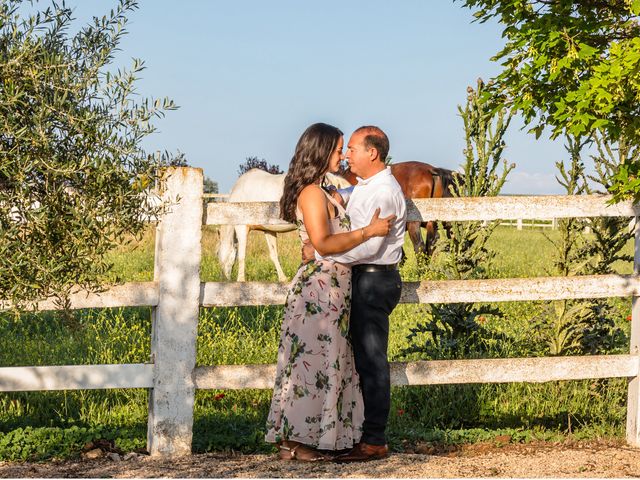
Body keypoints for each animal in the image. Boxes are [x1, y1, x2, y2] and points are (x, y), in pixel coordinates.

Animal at [219, 169, 350, 282]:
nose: (224, 280)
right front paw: (282, 278)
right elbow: (273, 255)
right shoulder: (269, 230)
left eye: (217, 255)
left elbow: (241, 255)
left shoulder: (241, 227)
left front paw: (241, 280)